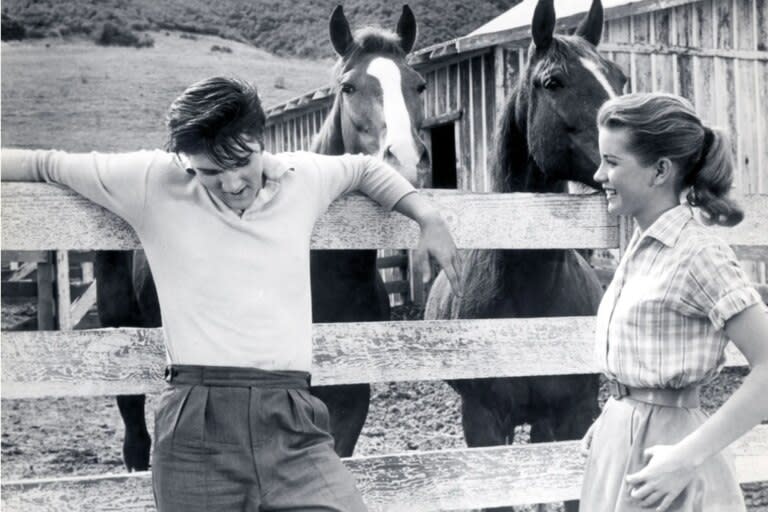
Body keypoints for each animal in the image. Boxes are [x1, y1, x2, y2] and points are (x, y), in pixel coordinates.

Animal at [97, 4, 428, 470]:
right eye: (349, 87)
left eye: (418, 84)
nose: (406, 160)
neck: (328, 275)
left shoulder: (350, 399)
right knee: (135, 438)